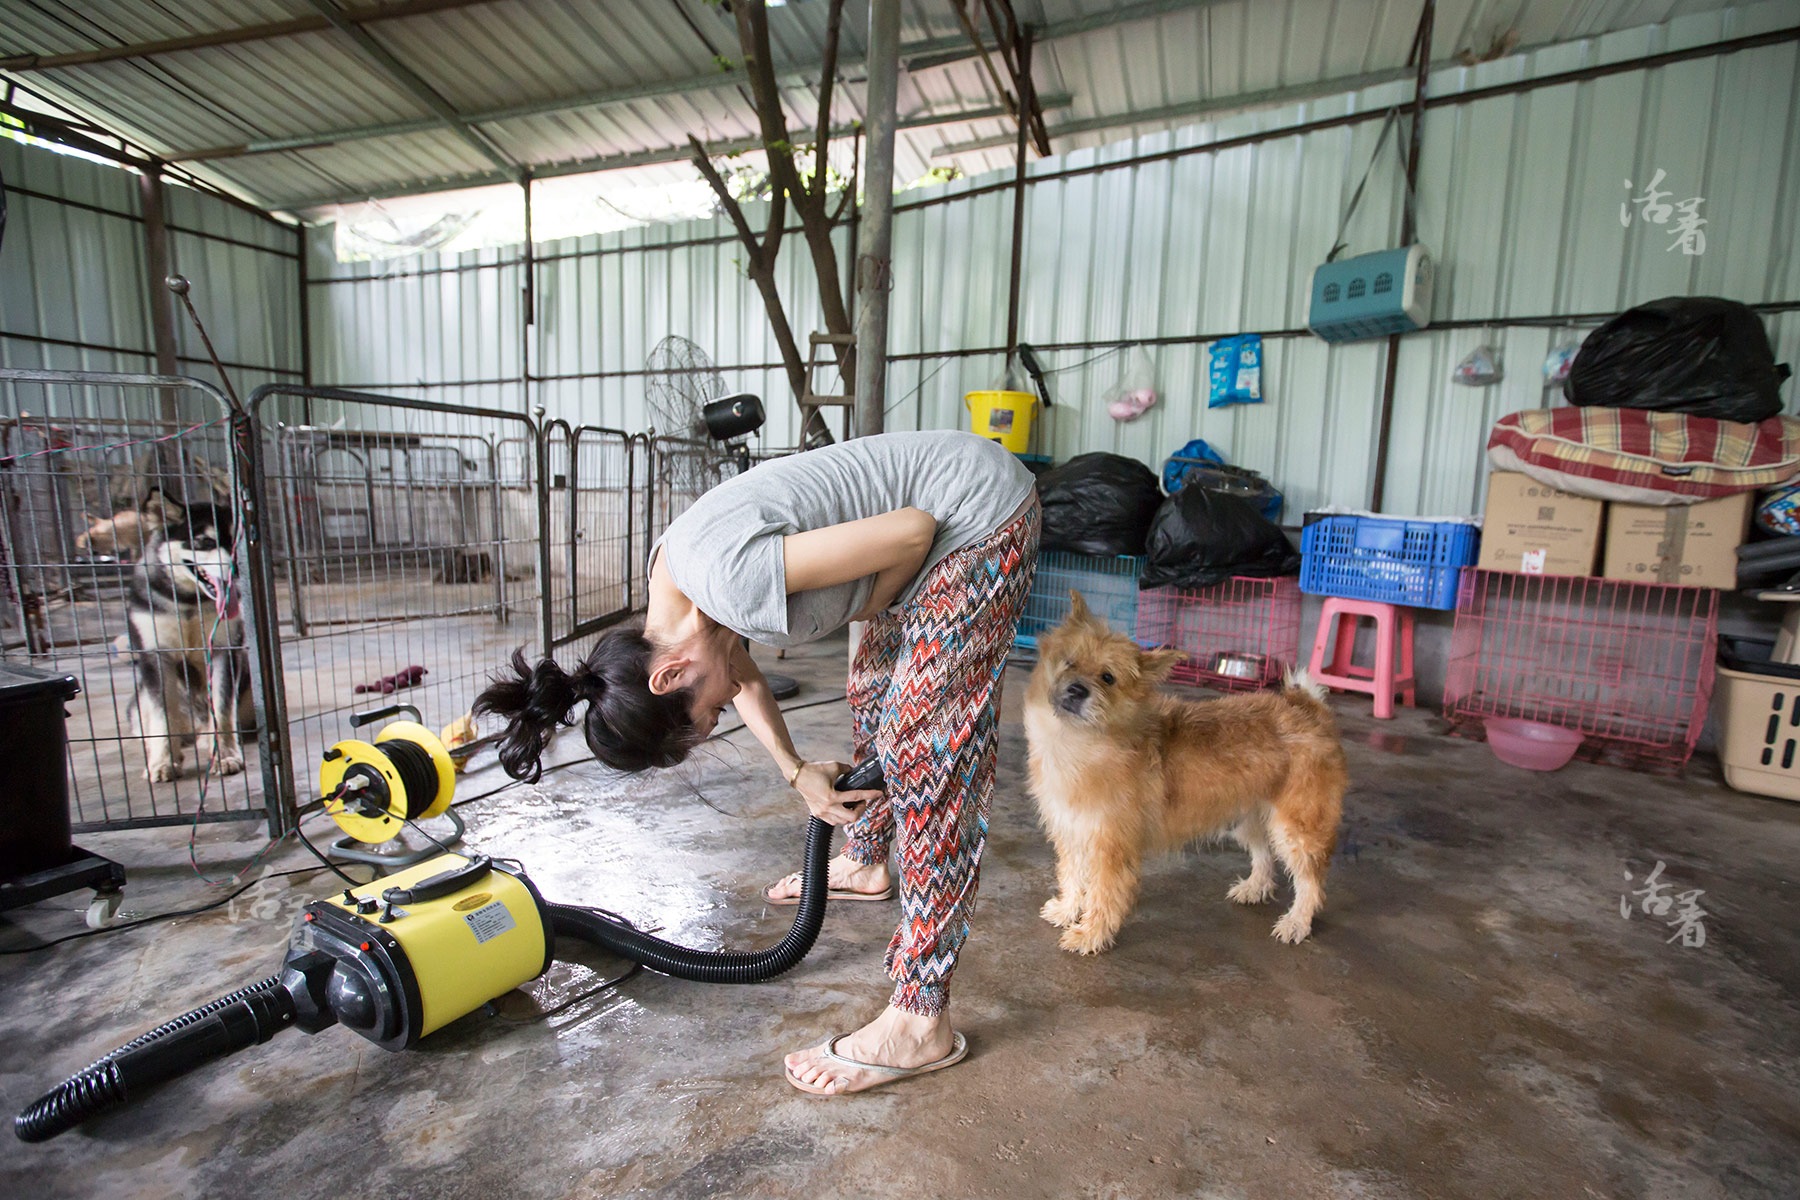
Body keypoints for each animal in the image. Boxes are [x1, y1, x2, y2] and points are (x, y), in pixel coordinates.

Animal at [130, 503, 255, 784]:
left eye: (236, 542)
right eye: (205, 542)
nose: (237, 569)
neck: (189, 603)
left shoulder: (224, 651)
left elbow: (222, 711)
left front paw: (226, 756)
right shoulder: (155, 656)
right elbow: (164, 716)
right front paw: (162, 762)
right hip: (138, 702)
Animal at [1029, 597, 1353, 949]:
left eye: (1107, 677)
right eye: (1069, 662)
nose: (1076, 690)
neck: (1080, 743)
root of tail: (1307, 709)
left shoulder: (1112, 847)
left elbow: (1103, 894)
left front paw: (1091, 935)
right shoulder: (1072, 831)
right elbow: (1072, 875)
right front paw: (1067, 909)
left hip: (1297, 829)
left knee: (1310, 882)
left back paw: (1297, 922)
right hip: (1249, 816)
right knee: (1264, 854)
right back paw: (1255, 887)